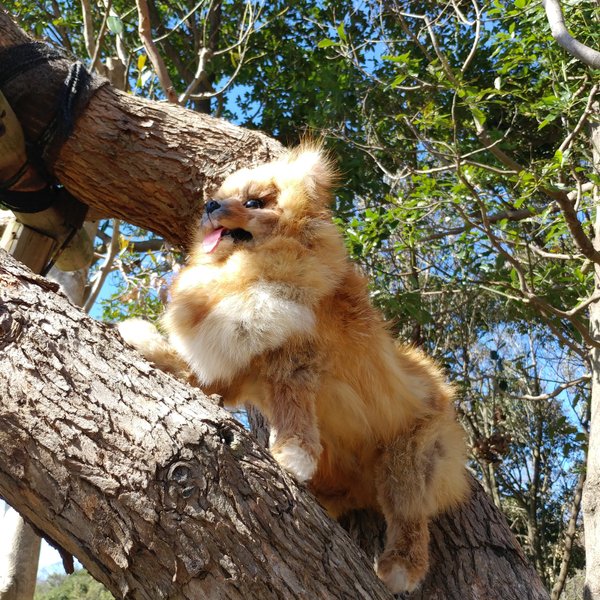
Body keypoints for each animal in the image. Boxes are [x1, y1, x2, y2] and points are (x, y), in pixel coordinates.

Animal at [119, 145, 468, 596]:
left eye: (253, 202)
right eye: (220, 196)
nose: (210, 205)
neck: (243, 270)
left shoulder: (295, 361)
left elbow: (293, 411)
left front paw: (292, 454)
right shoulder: (236, 368)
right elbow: (192, 373)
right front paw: (143, 339)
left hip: (408, 458)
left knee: (409, 514)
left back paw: (400, 567)